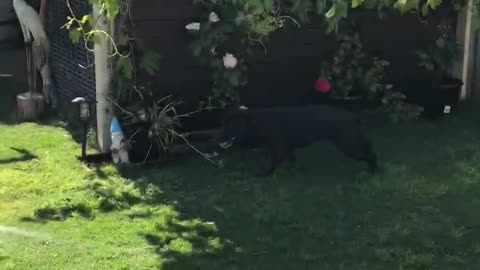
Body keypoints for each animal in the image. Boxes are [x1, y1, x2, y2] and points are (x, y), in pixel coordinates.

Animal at [218, 104, 378, 176]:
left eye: (228, 126)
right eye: (223, 124)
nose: (217, 136)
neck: (255, 122)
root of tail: (353, 117)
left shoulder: (279, 148)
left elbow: (274, 163)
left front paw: (265, 174)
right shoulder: (289, 148)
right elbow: (292, 159)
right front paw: (295, 170)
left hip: (349, 145)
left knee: (369, 154)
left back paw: (372, 170)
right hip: (353, 142)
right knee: (369, 147)